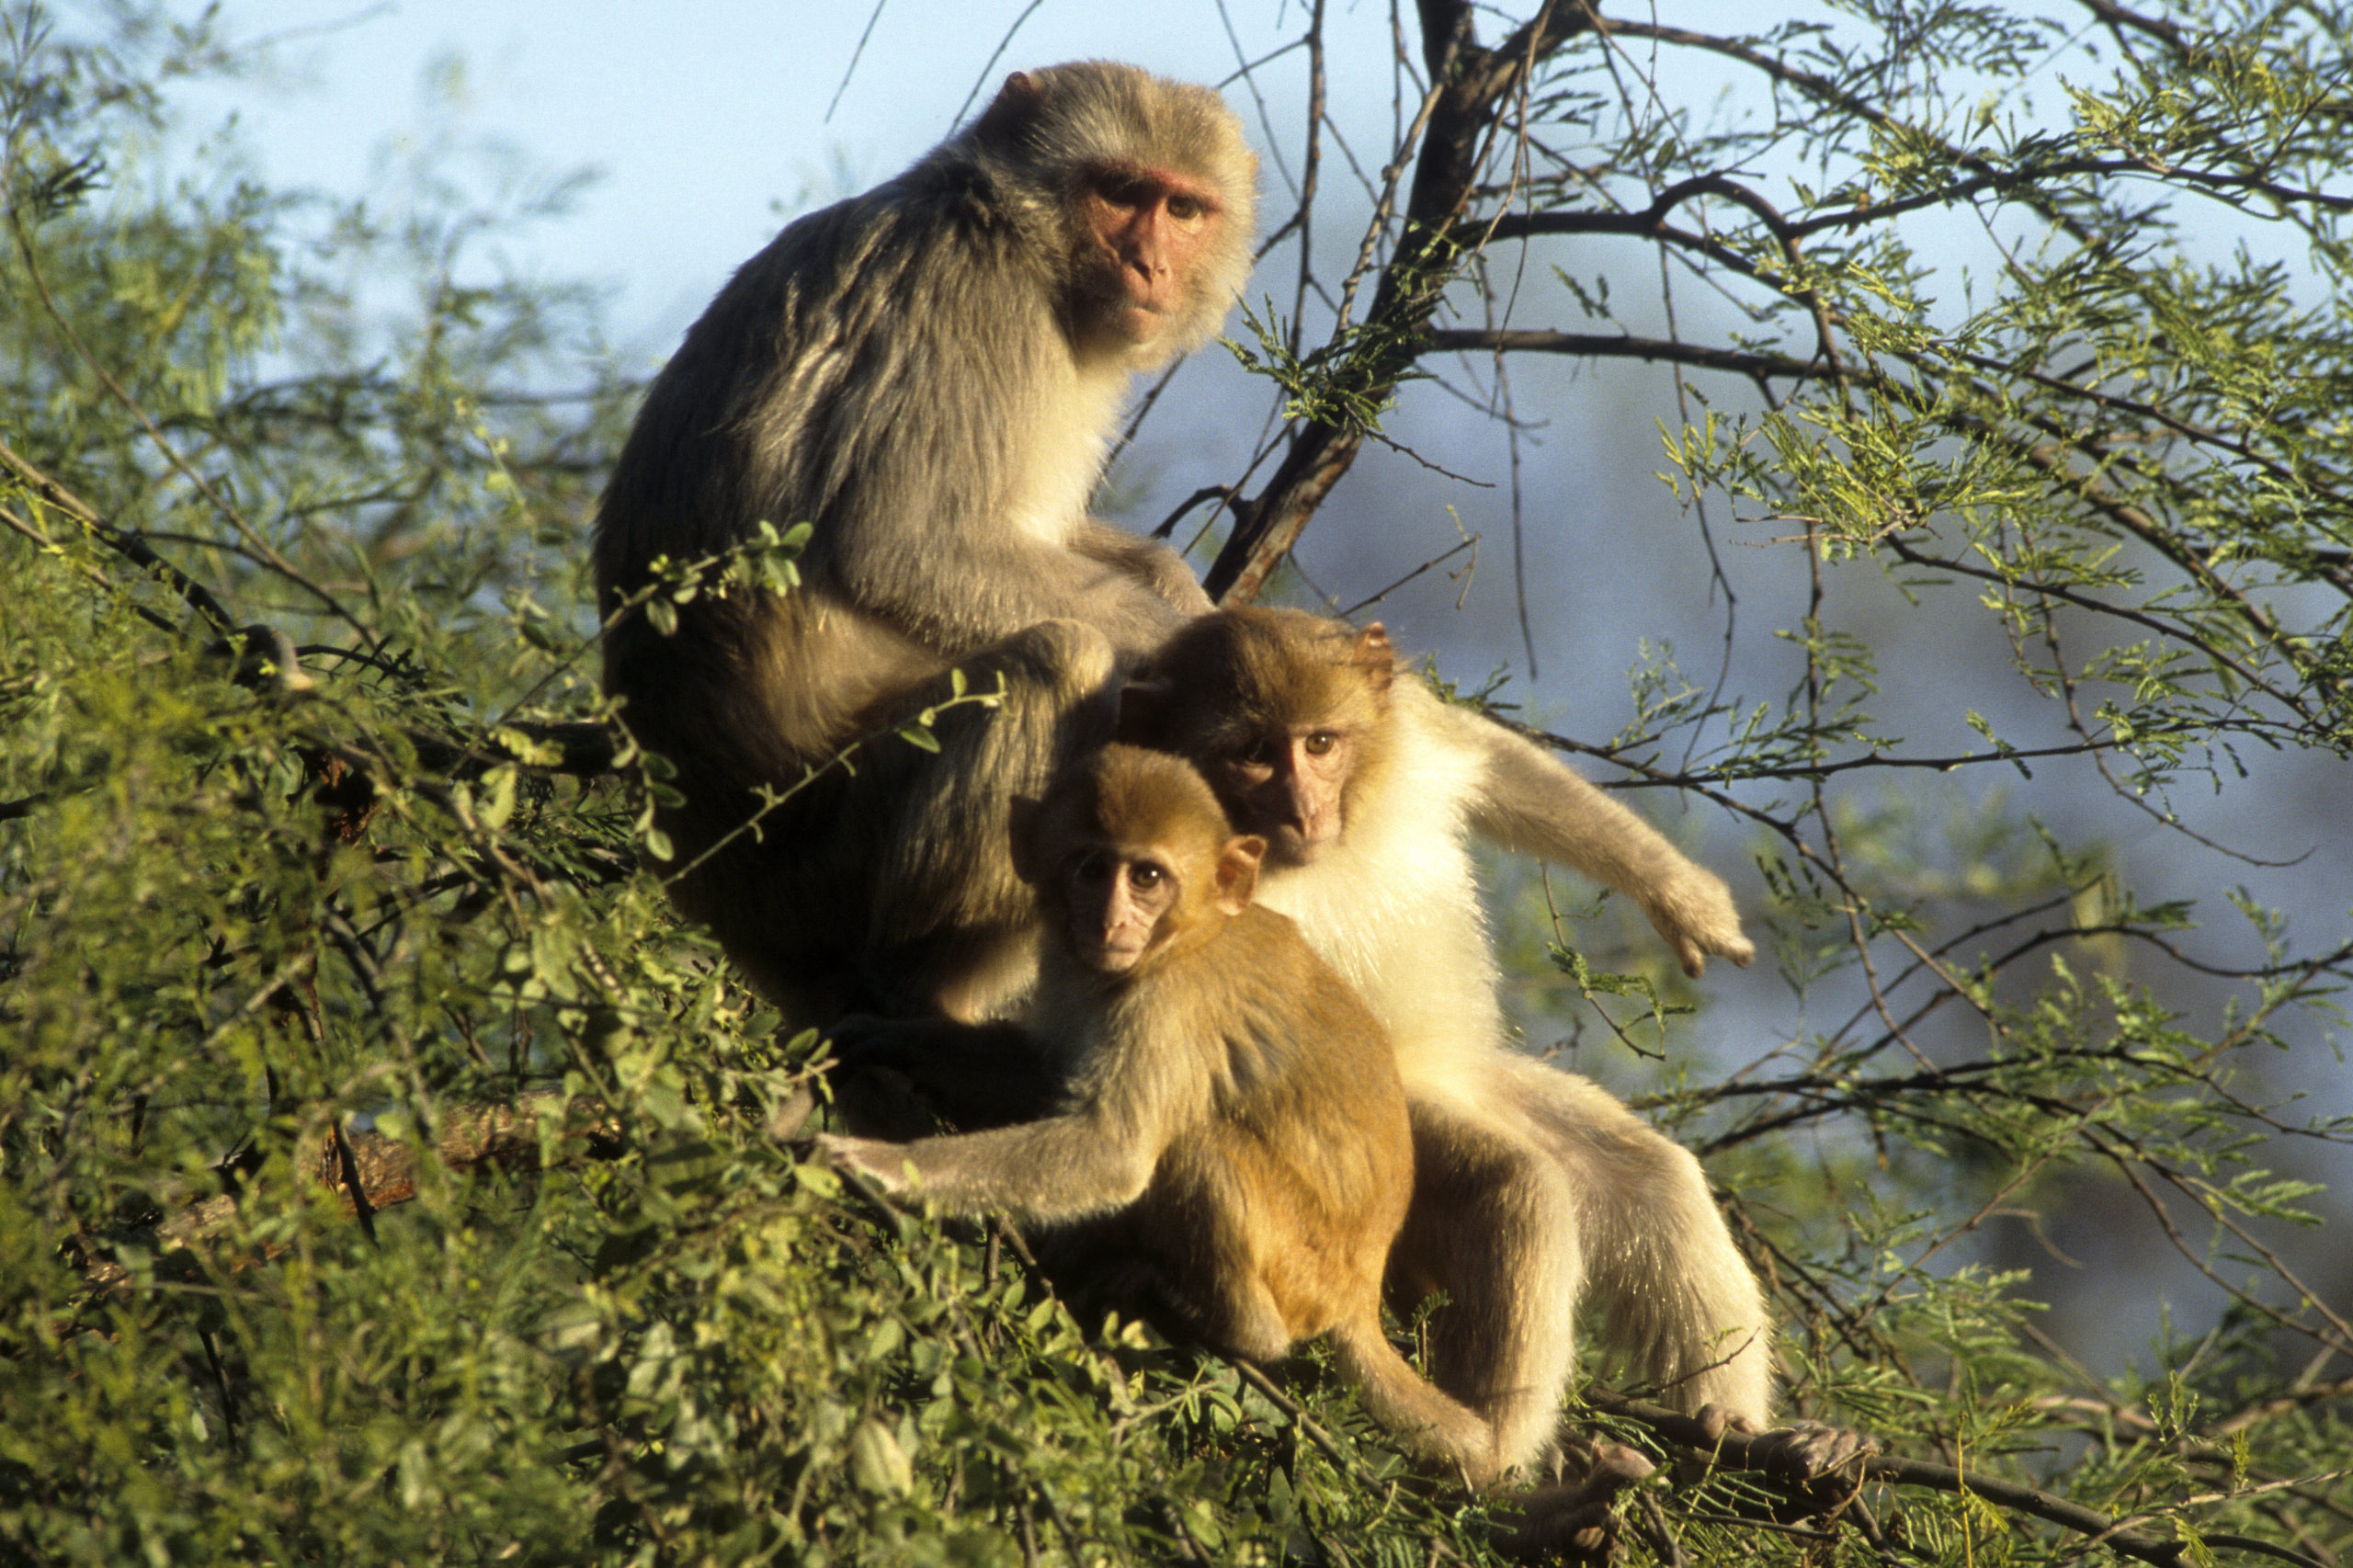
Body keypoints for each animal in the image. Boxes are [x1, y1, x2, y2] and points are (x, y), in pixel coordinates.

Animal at [588, 58, 1261, 1012]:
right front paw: (1200, 659)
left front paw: (1179, 586)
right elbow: (903, 547)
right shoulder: (971, 304)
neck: (1018, 241)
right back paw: (925, 973)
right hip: (820, 869)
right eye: (1121, 192)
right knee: (1059, 659)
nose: (1151, 261)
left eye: (1185, 209)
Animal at [818, 744, 1496, 1478]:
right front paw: (893, 1037)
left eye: (1146, 877)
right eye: (1091, 868)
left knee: (1198, 1149)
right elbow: (1041, 1074)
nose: (1111, 920)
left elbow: (1112, 1153)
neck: (1189, 934)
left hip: (1301, 1267)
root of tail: (1360, 1292)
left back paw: (1238, 1324)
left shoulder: (1170, 1006)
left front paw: (883, 1166)